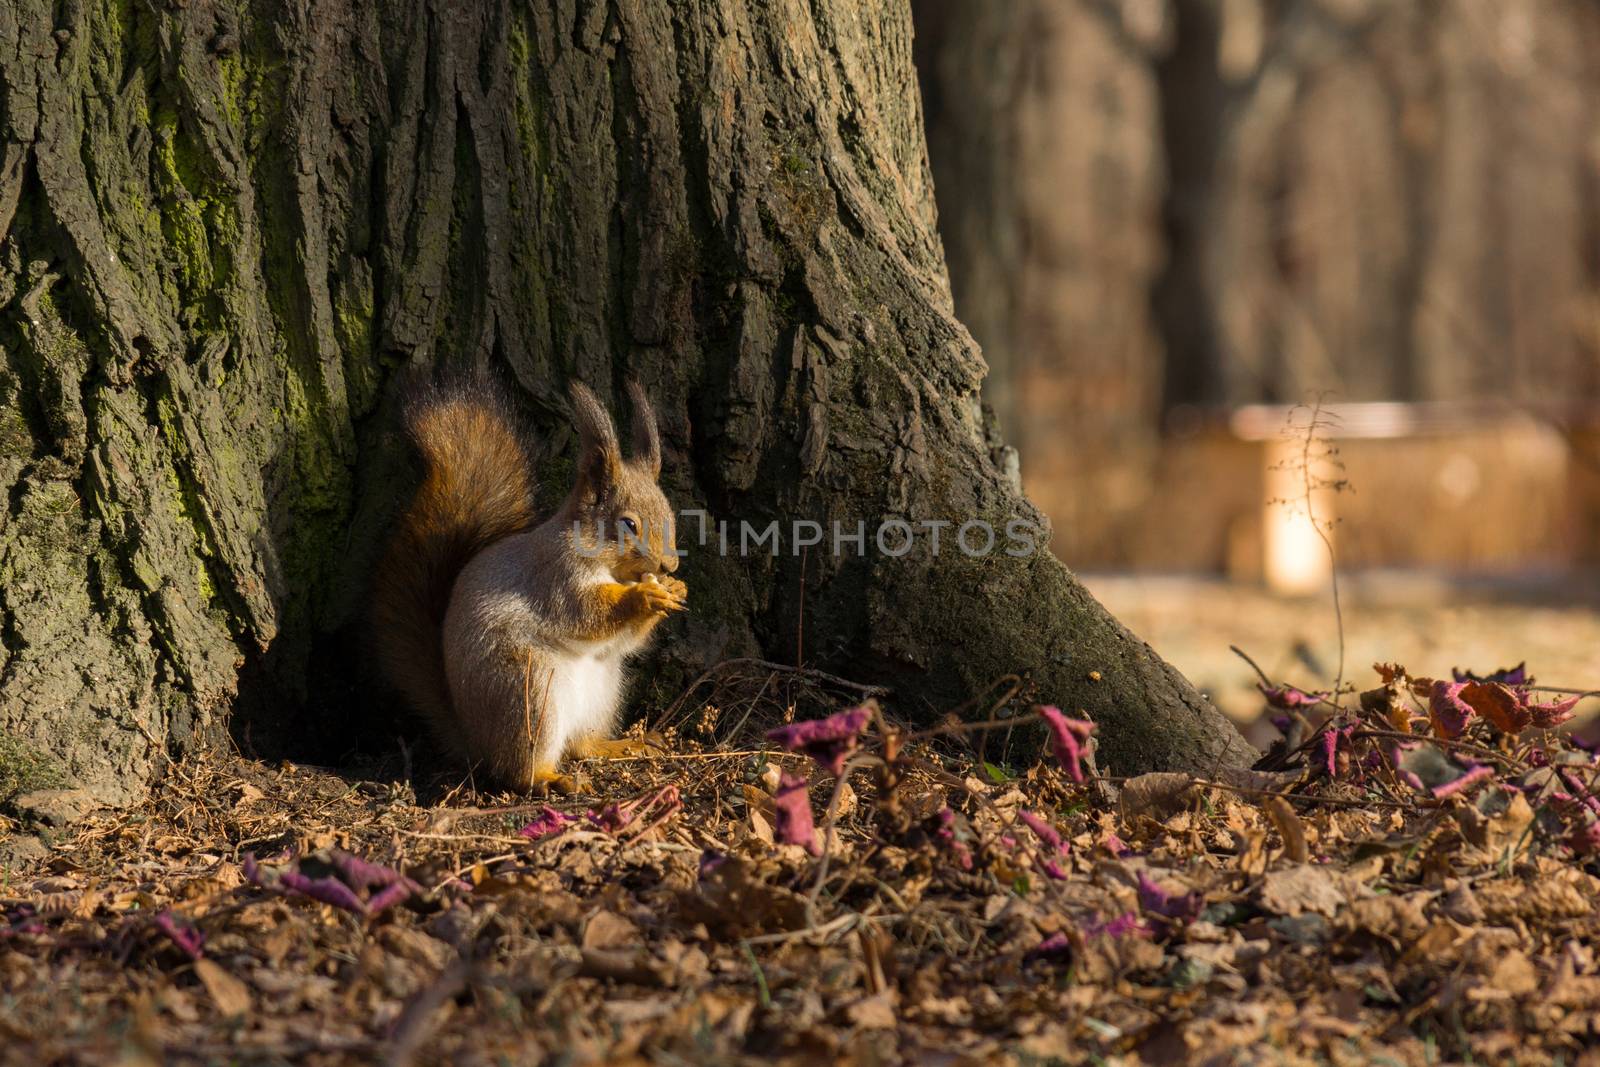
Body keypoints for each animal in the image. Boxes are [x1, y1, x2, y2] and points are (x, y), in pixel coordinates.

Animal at [371, 371, 684, 790]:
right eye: (629, 524)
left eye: (671, 514)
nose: (669, 565)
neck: (608, 565)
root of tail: (475, 740)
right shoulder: (555, 577)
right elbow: (585, 615)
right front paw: (644, 597)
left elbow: (626, 640)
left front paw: (673, 591)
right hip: (529, 691)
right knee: (520, 770)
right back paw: (550, 778)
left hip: (602, 691)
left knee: (580, 745)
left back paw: (618, 746)